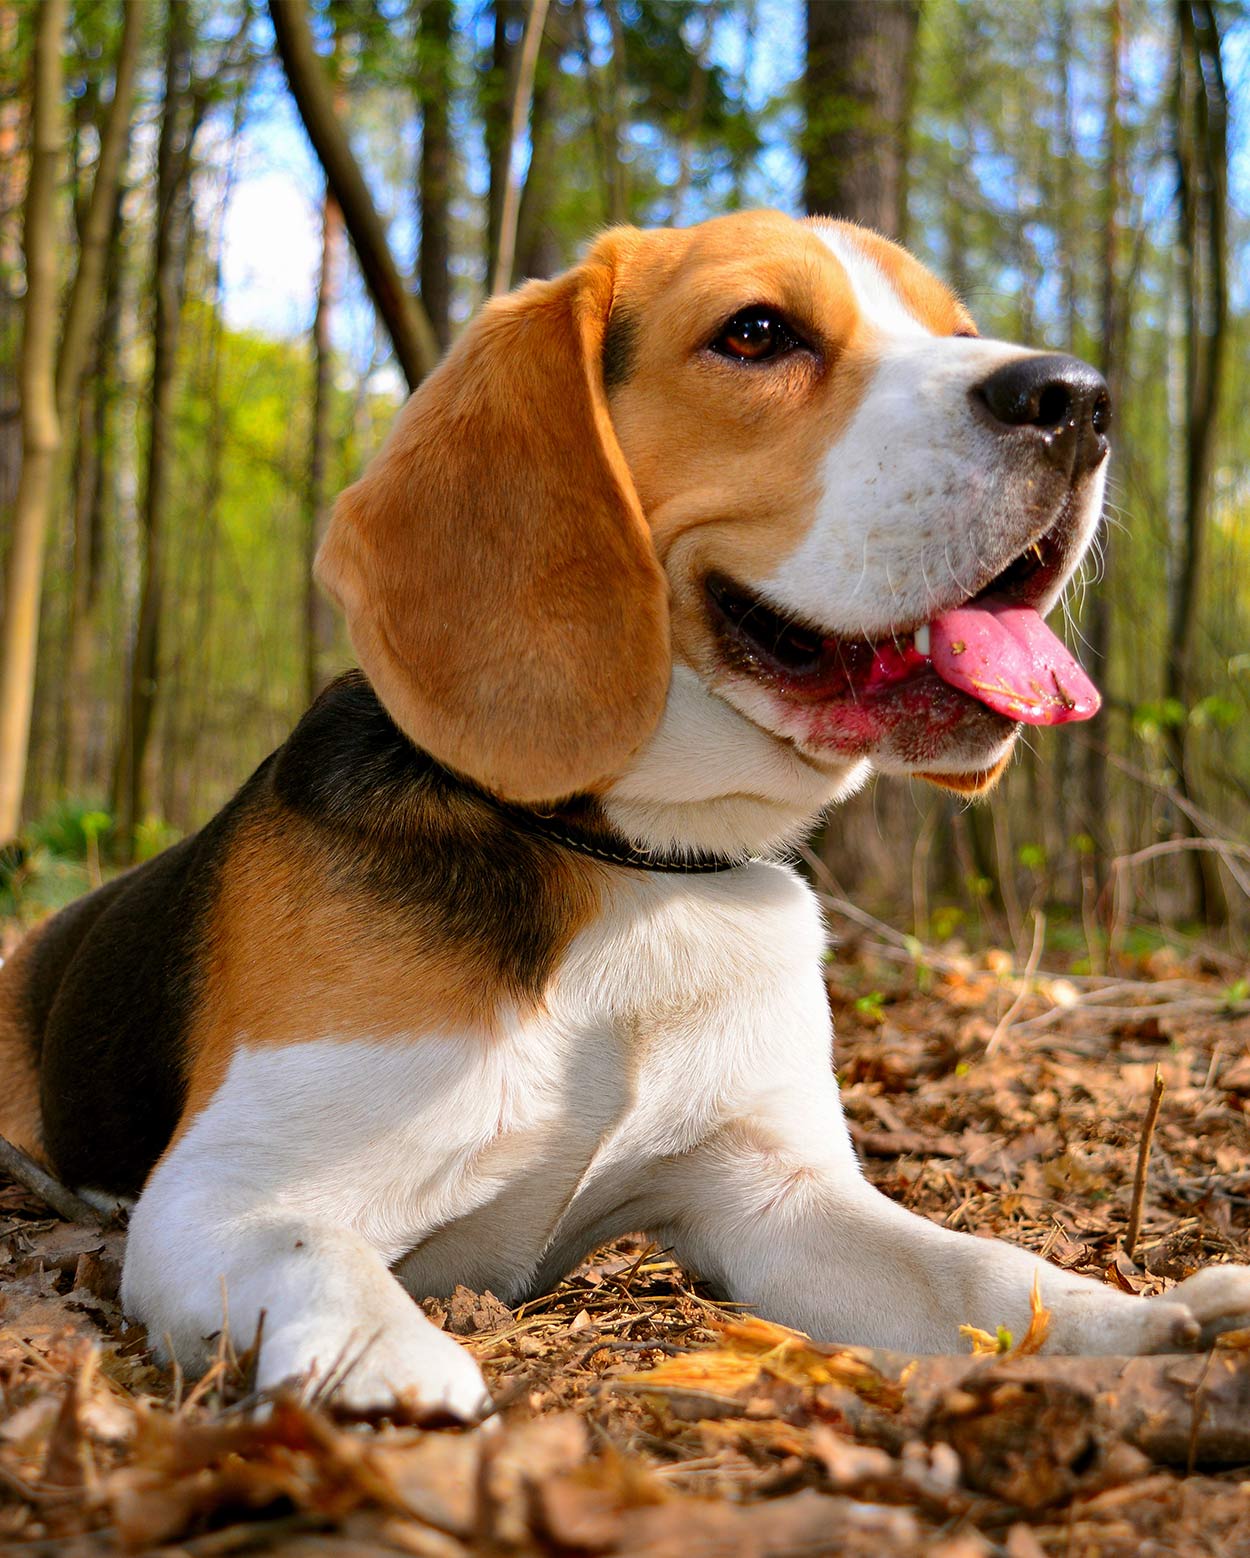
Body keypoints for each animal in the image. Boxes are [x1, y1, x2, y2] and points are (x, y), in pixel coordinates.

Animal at [2, 213, 1246, 1420]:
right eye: (756, 331)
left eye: (958, 330)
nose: (1076, 398)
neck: (635, 861)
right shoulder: (222, 1195)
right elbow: (320, 1257)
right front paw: (381, 1367)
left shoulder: (772, 1195)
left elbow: (978, 1269)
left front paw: (1130, 1320)